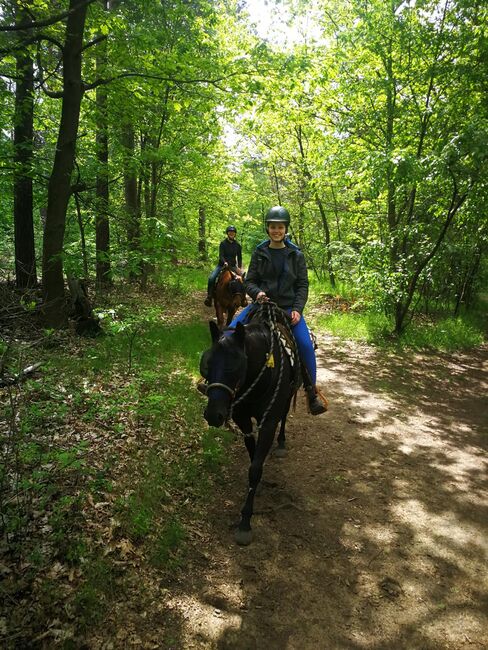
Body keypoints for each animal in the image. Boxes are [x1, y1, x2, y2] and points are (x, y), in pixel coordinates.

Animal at [200, 302, 300, 540]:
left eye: (235, 366)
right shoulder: (242, 419)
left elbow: (255, 468)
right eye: (207, 363)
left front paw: (245, 521)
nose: (214, 414)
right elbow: (252, 452)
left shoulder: (269, 422)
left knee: (284, 416)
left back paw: (281, 443)